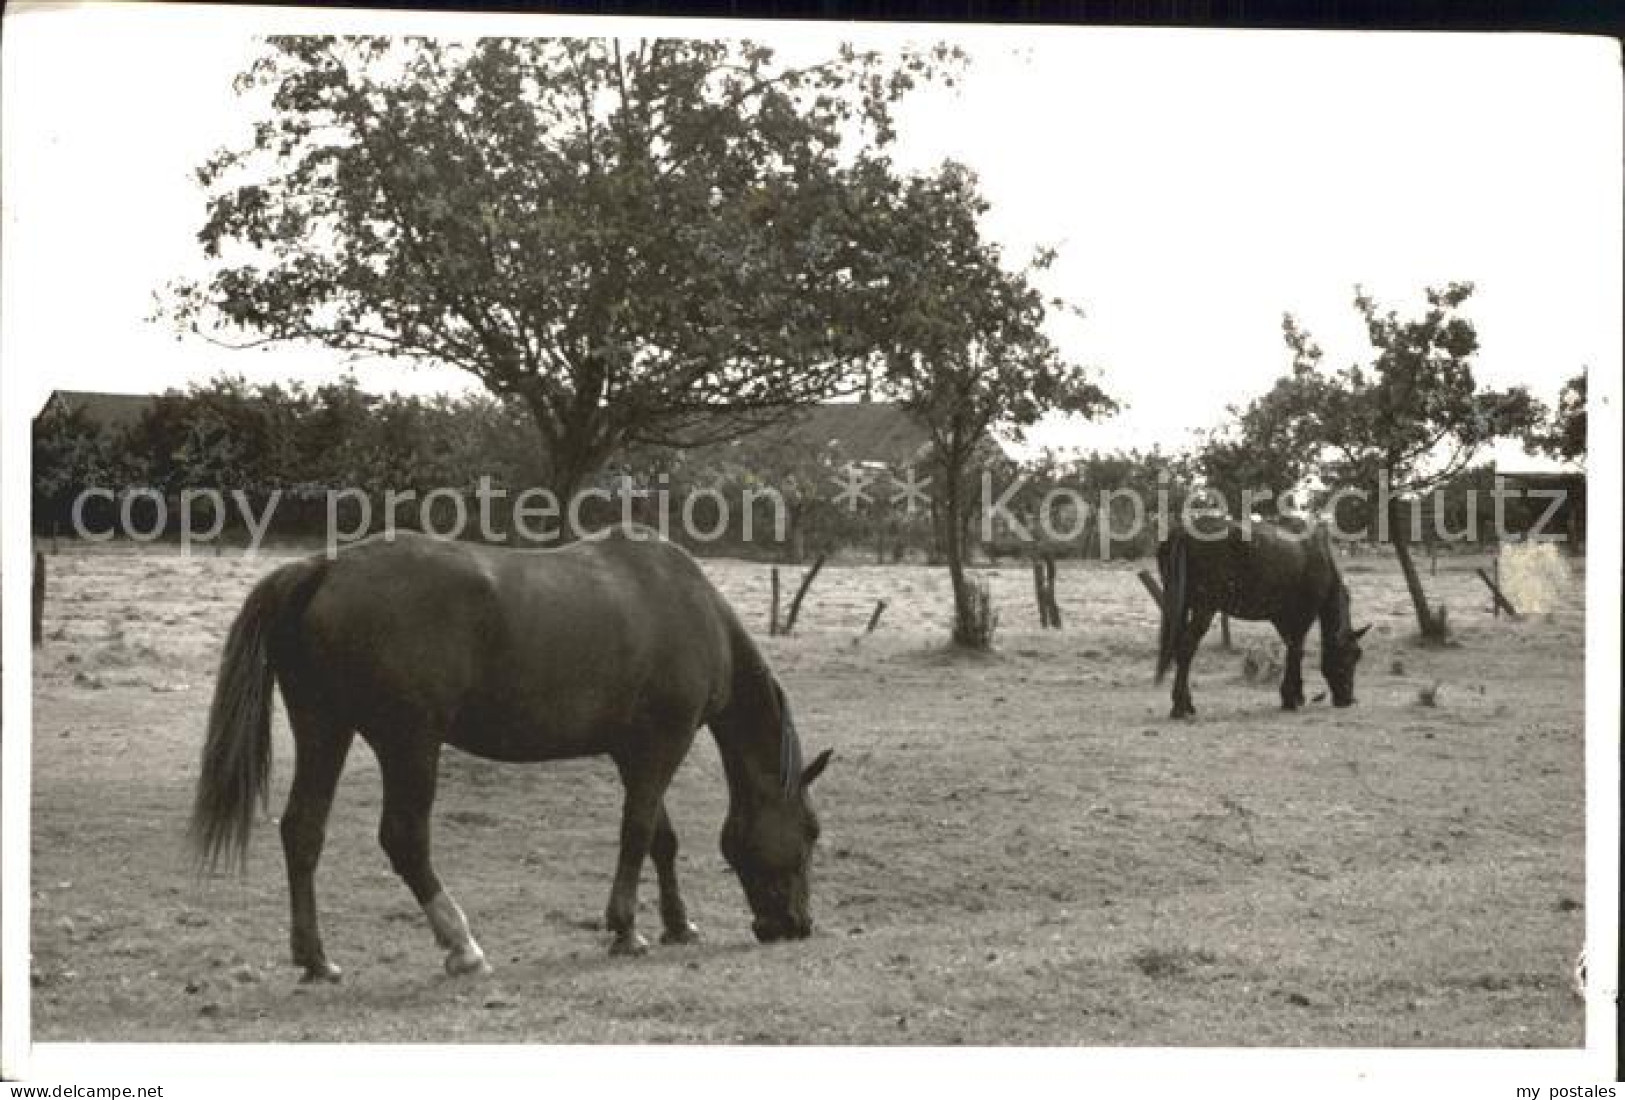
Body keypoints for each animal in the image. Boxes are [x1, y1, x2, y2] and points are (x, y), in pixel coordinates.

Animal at [184, 526, 832, 981]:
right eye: (811, 830)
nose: (797, 926)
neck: (690, 609)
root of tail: (324, 567)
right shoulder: (660, 746)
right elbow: (638, 834)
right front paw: (626, 930)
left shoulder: (634, 753)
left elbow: (660, 840)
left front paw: (678, 925)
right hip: (410, 744)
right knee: (404, 839)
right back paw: (461, 946)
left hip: (326, 730)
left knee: (303, 831)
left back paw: (317, 959)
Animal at [1150, 516, 1365, 721]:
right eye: (1352, 655)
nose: (1348, 700)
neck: (1319, 556)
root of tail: (1184, 531)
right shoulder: (1304, 615)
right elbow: (1297, 650)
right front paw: (1291, 698)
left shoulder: (1282, 618)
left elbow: (1292, 648)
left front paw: (1294, 694)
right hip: (1204, 608)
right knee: (1186, 647)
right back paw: (1179, 707)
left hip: (1181, 605)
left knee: (1179, 647)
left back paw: (1186, 703)